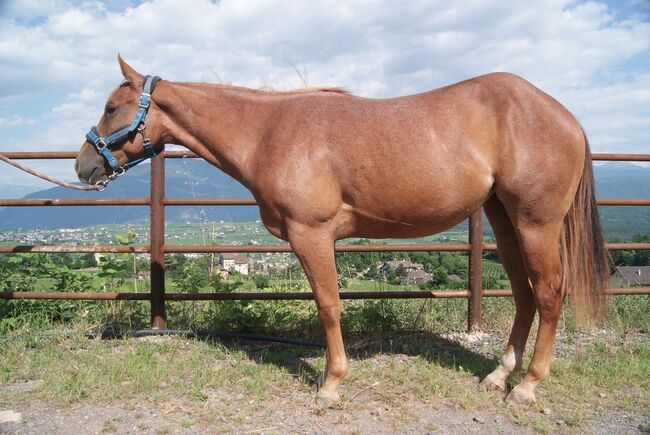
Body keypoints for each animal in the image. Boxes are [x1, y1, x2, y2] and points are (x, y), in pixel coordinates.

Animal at [76, 56, 608, 408]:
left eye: (110, 107)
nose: (83, 166)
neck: (269, 132)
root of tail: (565, 115)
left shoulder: (311, 235)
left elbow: (329, 306)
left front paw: (331, 383)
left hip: (536, 224)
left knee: (549, 293)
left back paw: (528, 385)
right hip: (504, 220)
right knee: (524, 294)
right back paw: (499, 376)